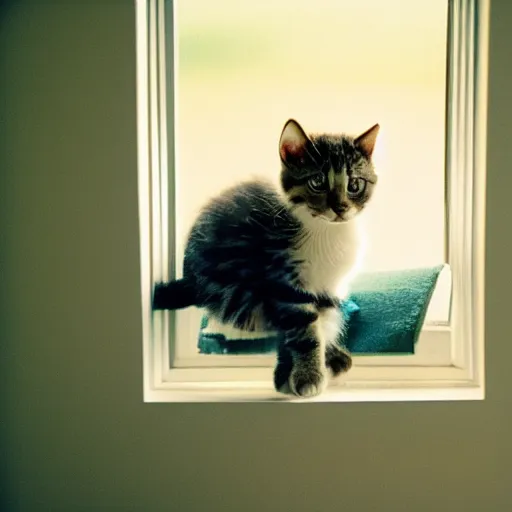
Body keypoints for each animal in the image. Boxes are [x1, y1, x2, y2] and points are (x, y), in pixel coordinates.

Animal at [154, 119, 378, 396]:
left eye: (355, 185)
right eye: (317, 181)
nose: (340, 208)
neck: (326, 230)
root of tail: (191, 280)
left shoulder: (327, 289)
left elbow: (320, 322)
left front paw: (310, 364)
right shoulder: (284, 281)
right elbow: (304, 328)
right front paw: (308, 375)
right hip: (233, 291)